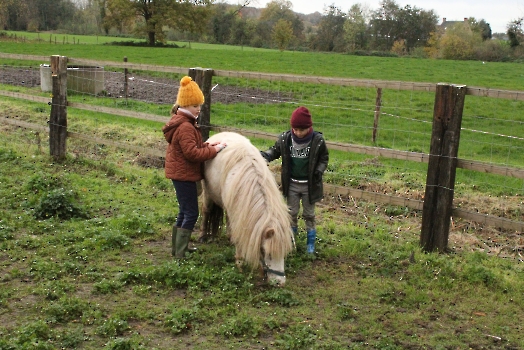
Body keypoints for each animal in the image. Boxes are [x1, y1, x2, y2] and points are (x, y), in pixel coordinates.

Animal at [202, 131, 294, 288]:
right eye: (266, 252)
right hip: (208, 195)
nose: (279, 283)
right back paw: (203, 235)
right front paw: (239, 262)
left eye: (284, 252)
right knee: (206, 212)